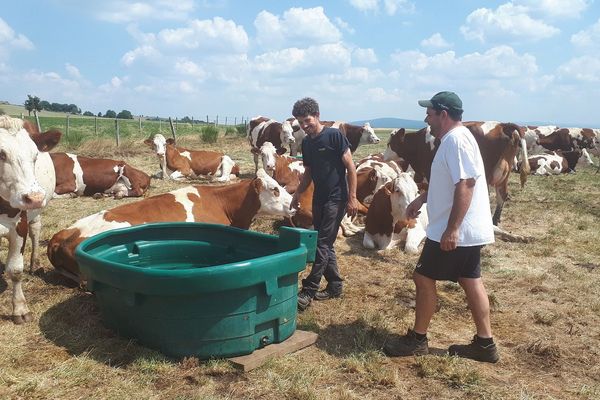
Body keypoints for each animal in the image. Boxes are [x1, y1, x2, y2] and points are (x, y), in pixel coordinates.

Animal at [0, 115, 61, 322]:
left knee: (36, 231)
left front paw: (20, 309)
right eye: (1, 154)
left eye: (35, 156)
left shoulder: (19, 225)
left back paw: (34, 264)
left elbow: (15, 270)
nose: (34, 197)